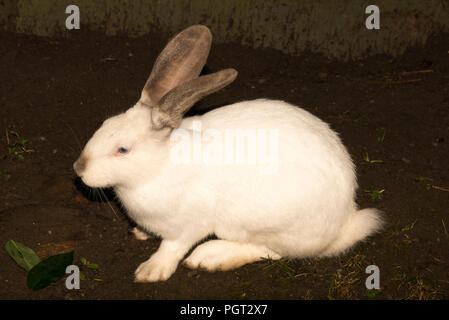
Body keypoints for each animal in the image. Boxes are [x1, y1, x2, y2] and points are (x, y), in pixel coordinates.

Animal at [73, 25, 382, 282]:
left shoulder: (188, 226)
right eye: (104, 124)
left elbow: (172, 247)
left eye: (123, 149)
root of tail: (342, 223)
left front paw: (151, 271)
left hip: (262, 223)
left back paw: (209, 257)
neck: (158, 167)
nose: (79, 168)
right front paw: (140, 233)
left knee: (270, 251)